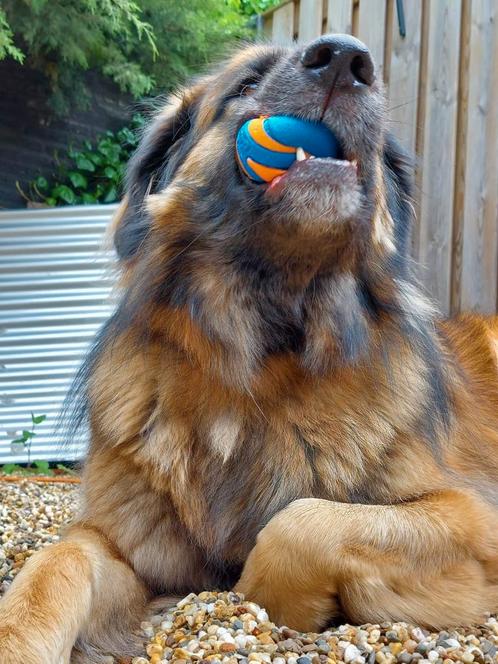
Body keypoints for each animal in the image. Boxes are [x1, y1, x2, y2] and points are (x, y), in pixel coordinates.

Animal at [0, 35, 498, 664]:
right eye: (247, 82)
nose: (346, 59)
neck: (258, 367)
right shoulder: (118, 543)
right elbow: (55, 562)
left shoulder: (472, 516)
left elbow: (299, 525)